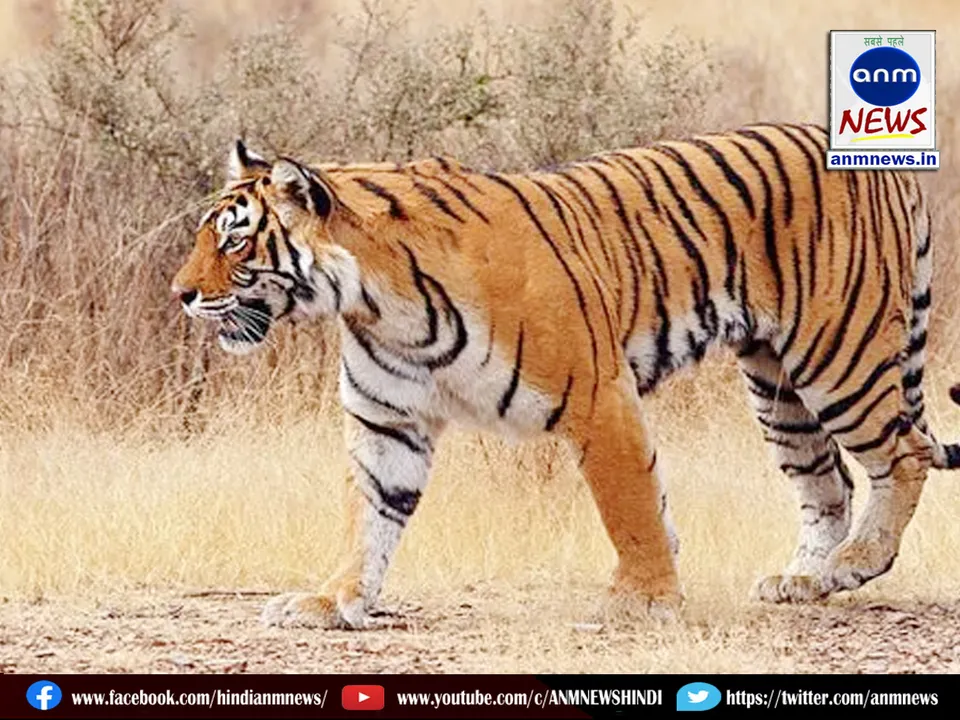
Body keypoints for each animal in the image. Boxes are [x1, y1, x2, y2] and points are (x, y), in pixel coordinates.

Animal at [172, 122, 960, 628]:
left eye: (234, 241)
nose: (179, 293)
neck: (375, 301)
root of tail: (884, 163)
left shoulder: (598, 395)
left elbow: (631, 505)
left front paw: (643, 600)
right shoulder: (387, 420)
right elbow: (368, 516)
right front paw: (331, 601)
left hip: (837, 355)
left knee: (904, 453)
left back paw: (857, 562)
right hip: (775, 383)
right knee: (828, 483)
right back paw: (807, 579)